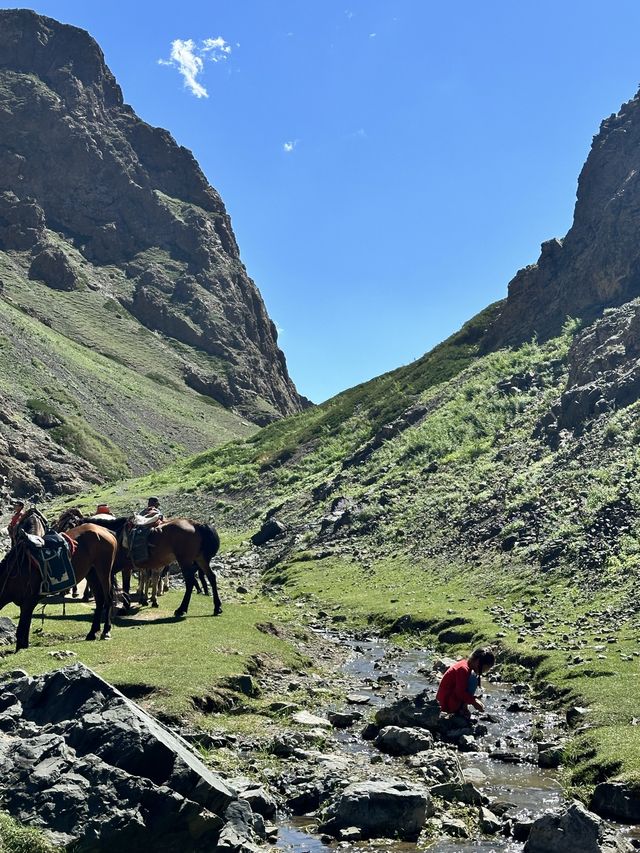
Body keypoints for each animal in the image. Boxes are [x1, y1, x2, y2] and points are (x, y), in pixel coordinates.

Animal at [0, 520, 117, 652]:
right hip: (91, 573)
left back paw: (106, 631)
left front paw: (21, 648)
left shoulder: (28, 602)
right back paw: (92, 633)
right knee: (100, 599)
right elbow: (24, 628)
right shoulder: (26, 604)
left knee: (108, 598)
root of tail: (105, 531)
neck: (15, 572)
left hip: (104, 571)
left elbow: (22, 629)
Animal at [55, 506, 225, 620]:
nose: (62, 538)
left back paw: (181, 609)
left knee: (190, 582)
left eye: (68, 524)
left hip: (185, 560)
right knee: (211, 577)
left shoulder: (122, 568)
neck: (111, 534)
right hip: (200, 559)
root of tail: (197, 525)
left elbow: (123, 586)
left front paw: (123, 607)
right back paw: (217, 607)